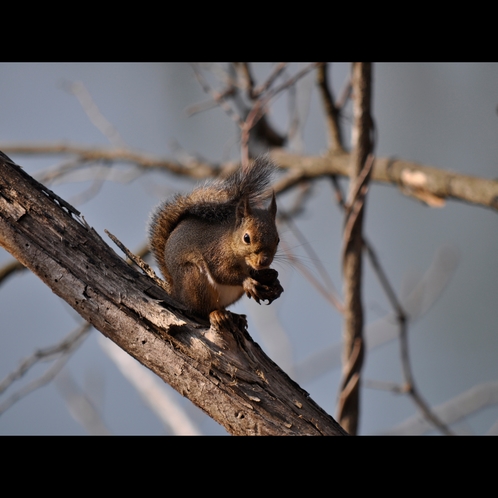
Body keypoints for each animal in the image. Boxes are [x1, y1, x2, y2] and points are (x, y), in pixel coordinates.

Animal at [148, 158, 282, 332]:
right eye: (246, 238)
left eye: (278, 239)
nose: (264, 262)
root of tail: (176, 292)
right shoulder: (215, 254)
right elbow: (222, 273)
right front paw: (248, 282)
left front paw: (274, 280)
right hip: (194, 280)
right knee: (201, 309)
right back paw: (216, 314)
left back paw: (235, 316)